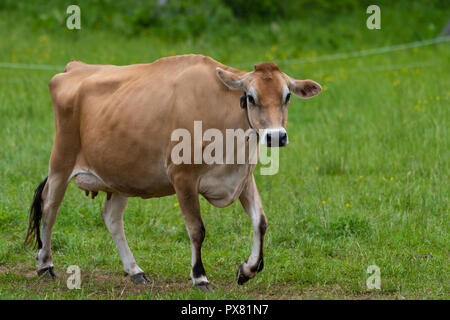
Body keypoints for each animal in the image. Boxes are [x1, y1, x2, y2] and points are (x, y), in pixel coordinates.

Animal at [25, 54, 320, 290]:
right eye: (251, 97)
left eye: (287, 96)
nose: (275, 136)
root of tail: (75, 67)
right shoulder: (183, 177)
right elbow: (197, 229)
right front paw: (199, 276)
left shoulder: (243, 178)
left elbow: (260, 222)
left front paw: (247, 270)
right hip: (61, 161)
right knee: (49, 208)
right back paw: (45, 264)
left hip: (121, 175)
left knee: (111, 218)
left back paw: (135, 270)